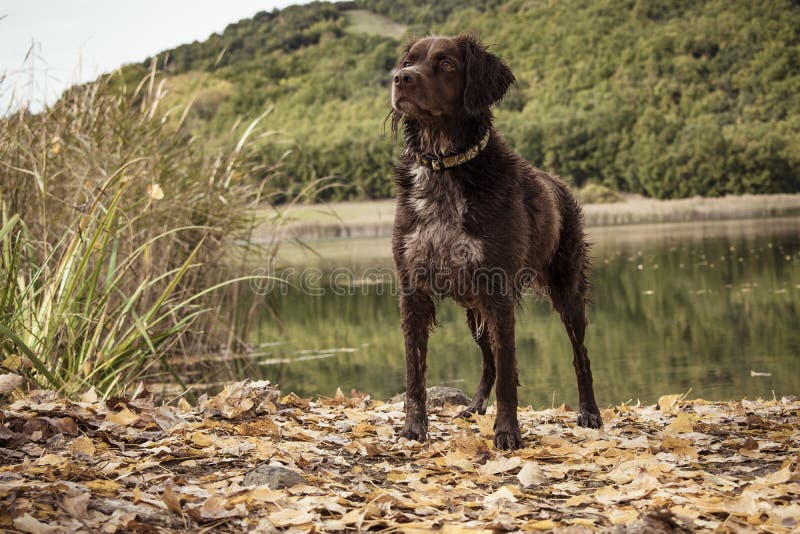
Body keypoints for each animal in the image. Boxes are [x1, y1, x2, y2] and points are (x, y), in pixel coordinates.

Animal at [388, 34, 600, 452]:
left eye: (447, 64)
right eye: (408, 61)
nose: (400, 79)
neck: (445, 171)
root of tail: (561, 185)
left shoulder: (498, 290)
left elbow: (509, 372)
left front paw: (507, 432)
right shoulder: (413, 287)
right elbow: (414, 371)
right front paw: (414, 429)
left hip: (566, 294)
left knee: (580, 355)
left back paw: (589, 413)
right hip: (474, 312)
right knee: (488, 361)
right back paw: (474, 406)